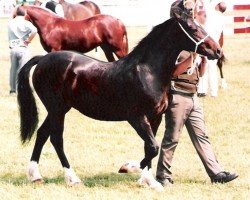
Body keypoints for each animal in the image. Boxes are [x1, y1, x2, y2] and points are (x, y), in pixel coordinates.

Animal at [17, 15, 222, 186]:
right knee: (56, 138)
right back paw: (72, 178)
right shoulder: (136, 118)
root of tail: (42, 59)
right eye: (192, 28)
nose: (217, 50)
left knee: (42, 134)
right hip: (57, 109)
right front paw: (129, 168)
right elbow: (153, 148)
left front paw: (147, 180)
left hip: (59, 109)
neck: (147, 72)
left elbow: (150, 148)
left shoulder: (155, 117)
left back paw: (35, 176)